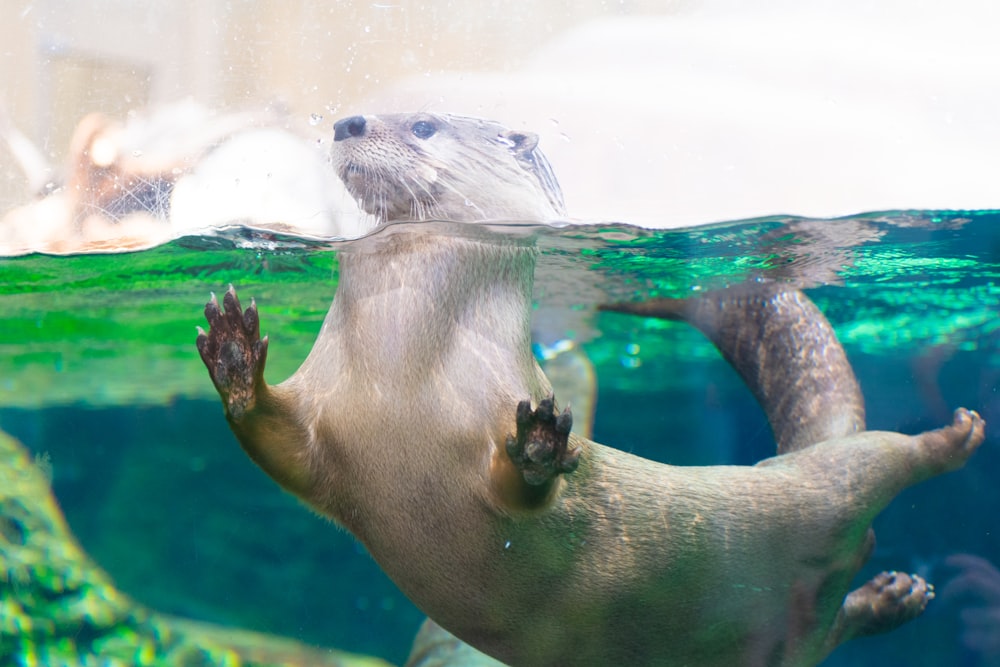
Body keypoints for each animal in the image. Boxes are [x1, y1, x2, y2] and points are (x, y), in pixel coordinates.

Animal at [195, 112, 984, 664]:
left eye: (422, 123)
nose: (348, 121)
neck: (400, 376)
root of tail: (783, 461)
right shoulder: (327, 426)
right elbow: (280, 446)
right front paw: (234, 353)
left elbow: (531, 496)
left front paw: (538, 447)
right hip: (785, 635)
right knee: (830, 628)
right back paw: (893, 597)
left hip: (825, 491)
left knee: (882, 460)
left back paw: (956, 436)